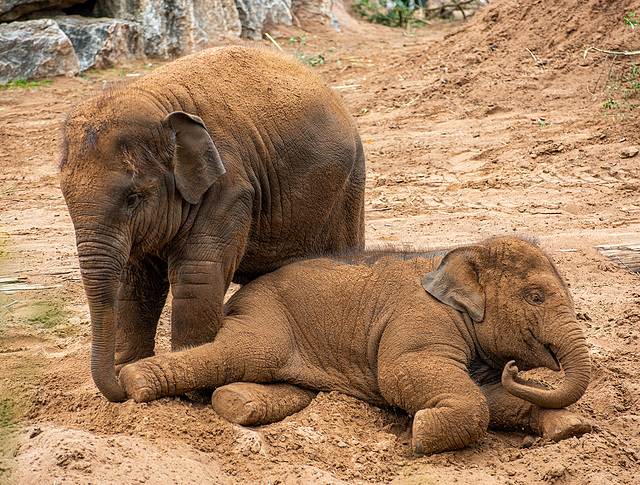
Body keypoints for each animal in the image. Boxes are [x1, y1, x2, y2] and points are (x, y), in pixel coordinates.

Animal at [63, 45, 370, 400]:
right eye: (65, 197)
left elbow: (198, 274)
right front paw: (129, 376)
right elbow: (136, 282)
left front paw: (191, 396)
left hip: (348, 188)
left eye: (133, 198)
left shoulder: (228, 187)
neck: (157, 101)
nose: (122, 389)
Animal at [119, 238, 592, 454]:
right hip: (266, 319)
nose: (515, 369)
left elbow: (492, 397)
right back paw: (136, 382)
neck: (462, 252)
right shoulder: (418, 320)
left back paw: (237, 404)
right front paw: (420, 435)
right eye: (535, 297)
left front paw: (571, 428)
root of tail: (237, 297)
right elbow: (403, 375)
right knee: (238, 354)